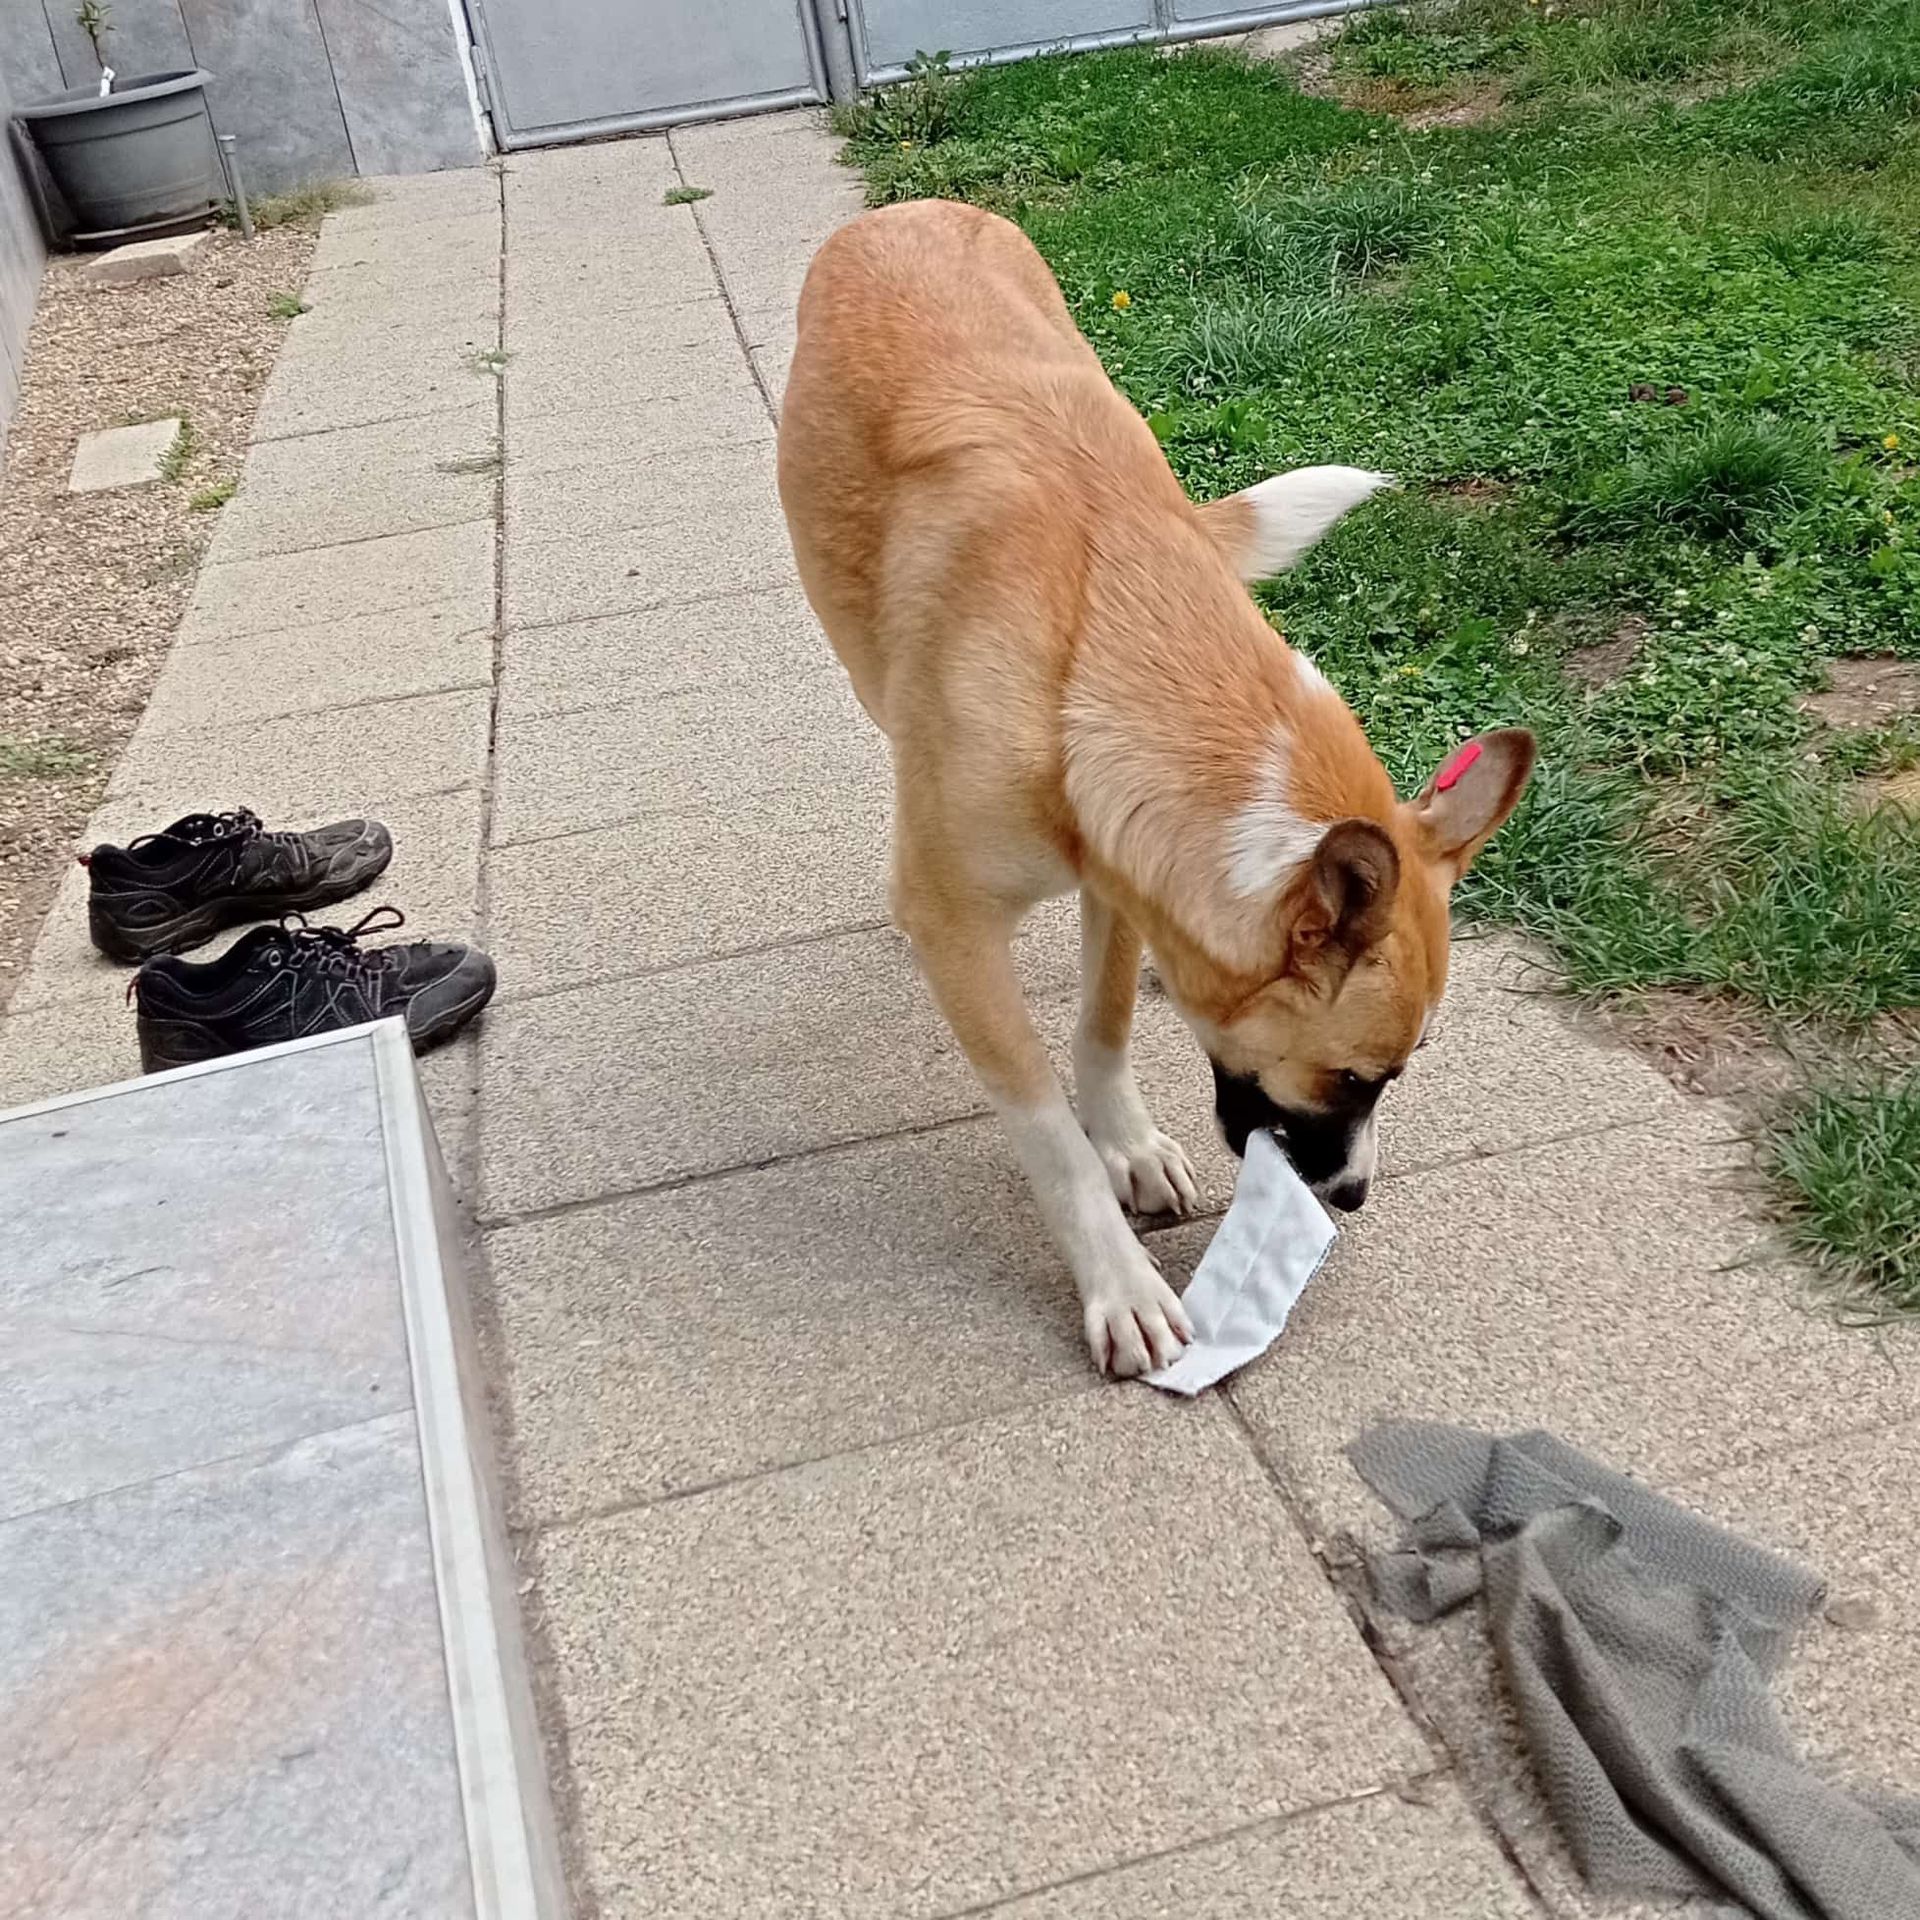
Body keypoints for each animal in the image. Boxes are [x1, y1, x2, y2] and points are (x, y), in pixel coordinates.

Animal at [777, 201, 1535, 1377]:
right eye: (1355, 1080)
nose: (1353, 1199)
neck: (1106, 631)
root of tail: (907, 209)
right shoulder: (968, 926)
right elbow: (1047, 1129)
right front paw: (1120, 1282)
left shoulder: (1124, 882)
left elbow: (1105, 1026)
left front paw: (1126, 1141)